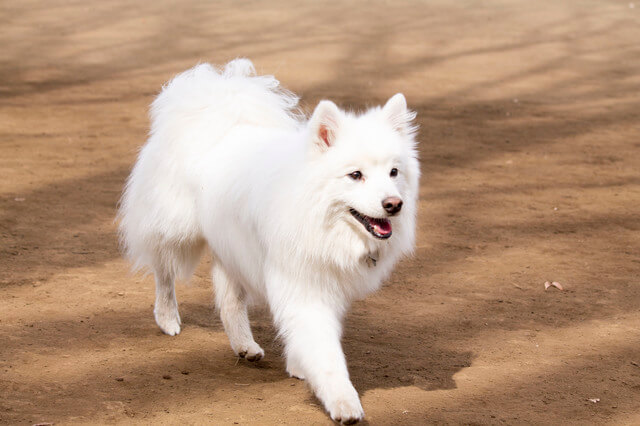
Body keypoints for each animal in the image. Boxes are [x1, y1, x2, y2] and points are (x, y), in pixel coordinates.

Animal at [119, 59, 420, 422]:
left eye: (394, 172)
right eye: (355, 175)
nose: (394, 204)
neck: (317, 214)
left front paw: (299, 367)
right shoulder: (303, 286)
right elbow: (325, 353)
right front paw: (343, 403)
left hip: (230, 247)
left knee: (228, 300)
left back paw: (244, 346)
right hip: (175, 229)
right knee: (164, 272)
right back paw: (167, 319)